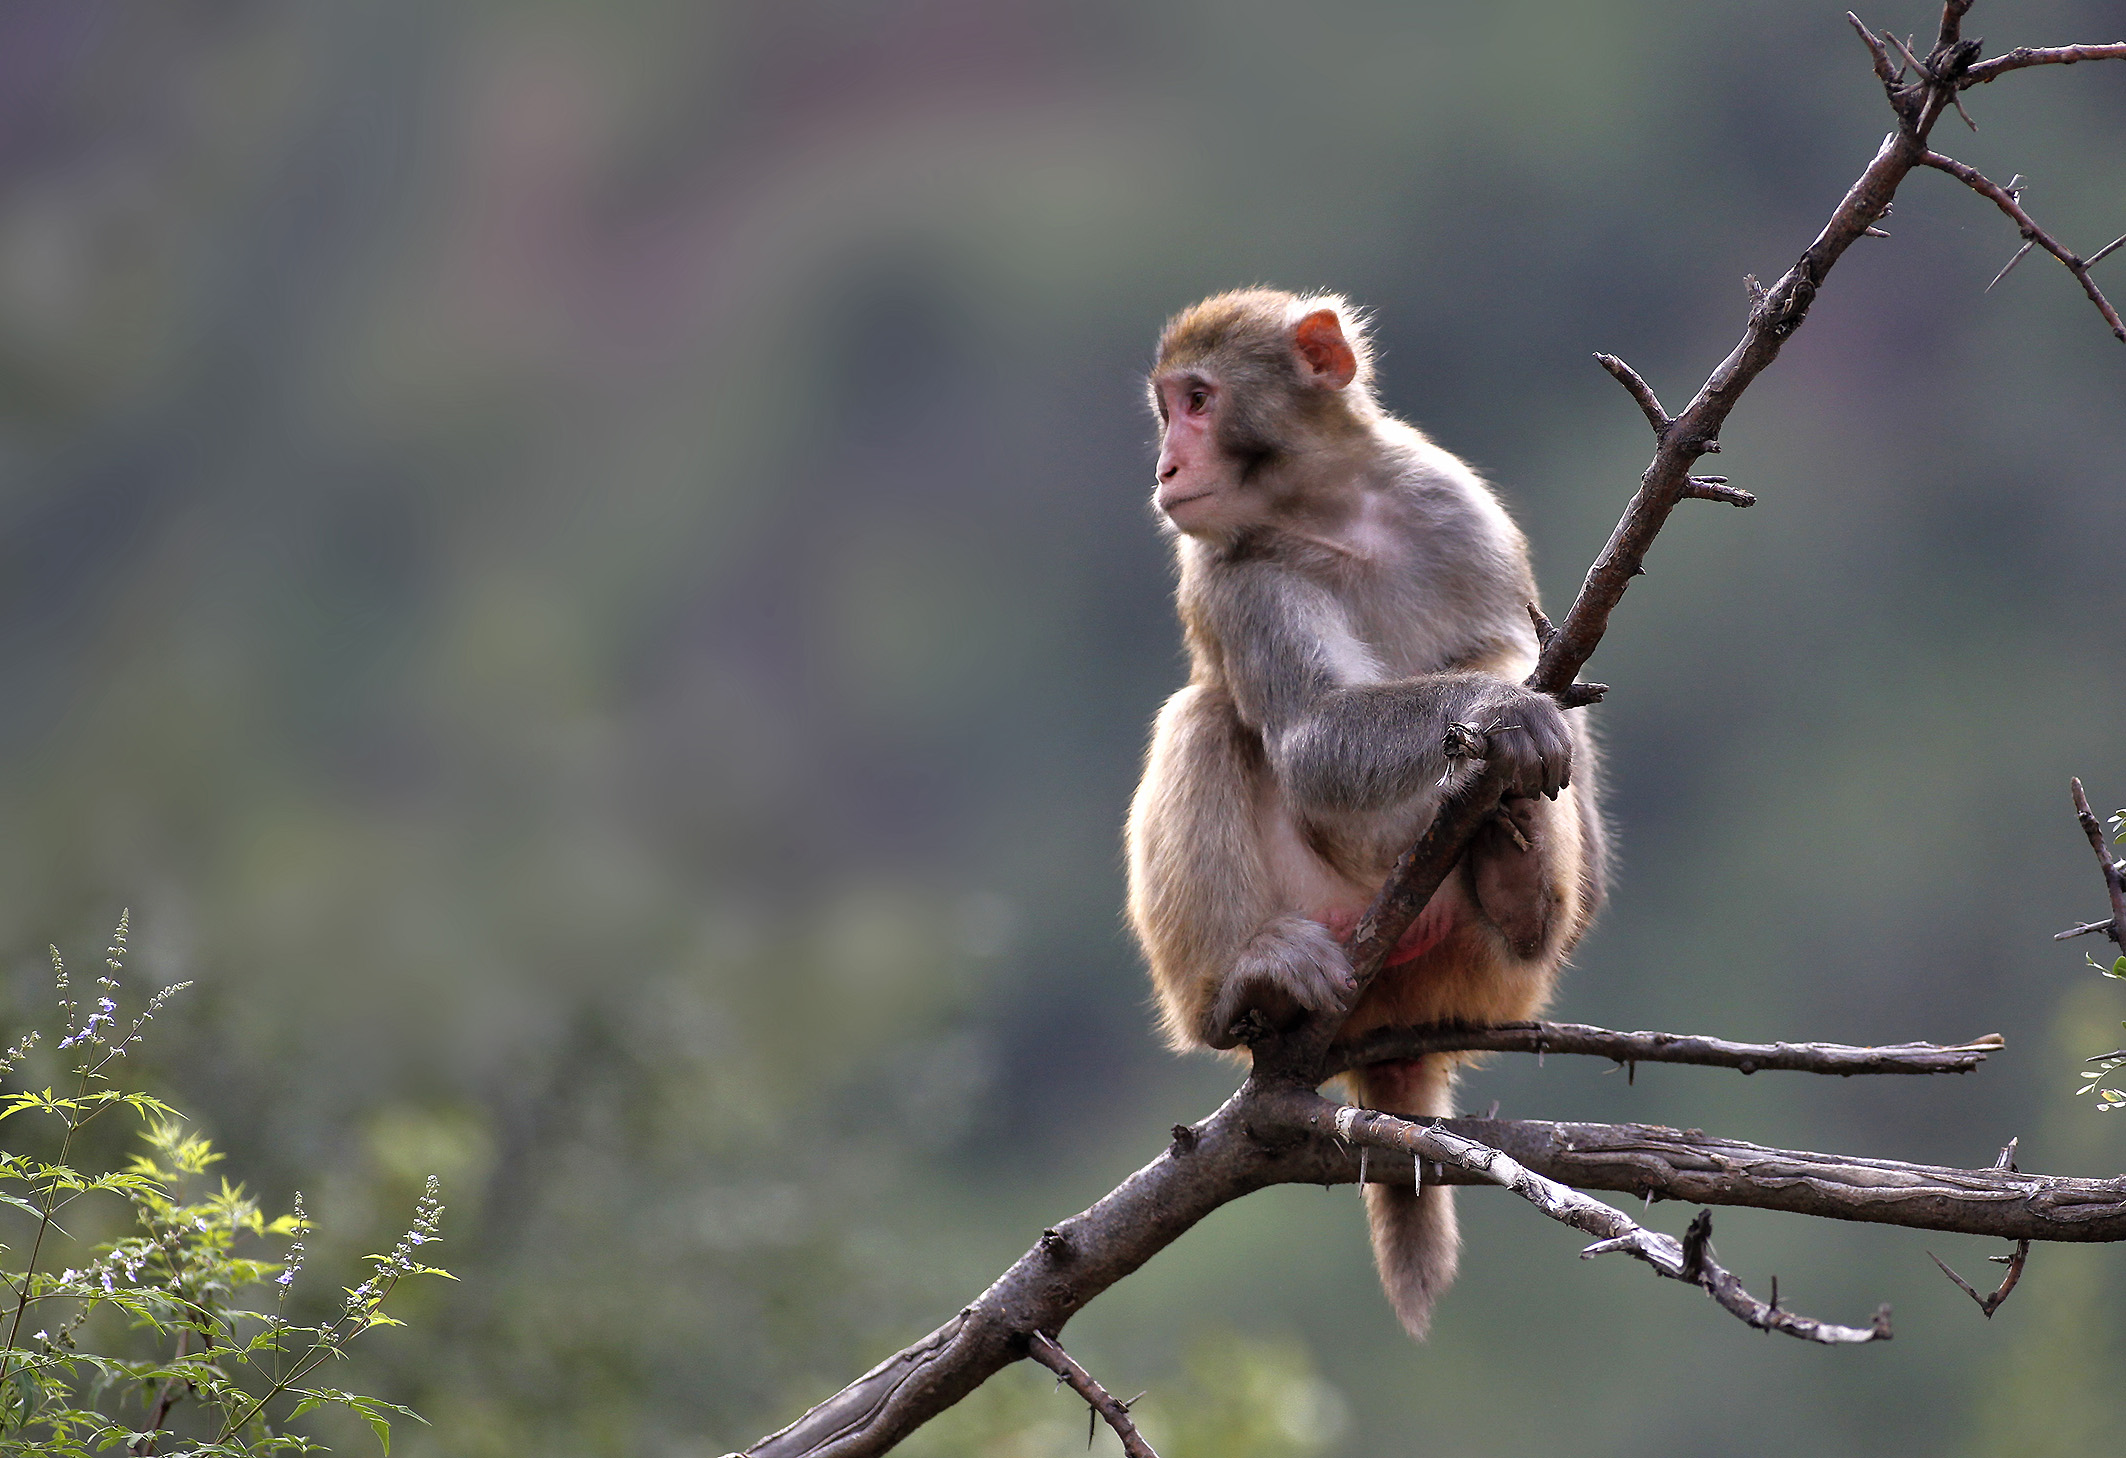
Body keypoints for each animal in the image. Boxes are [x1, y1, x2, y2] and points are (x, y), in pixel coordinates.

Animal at [1122, 289, 1598, 1351]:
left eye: (1198, 400)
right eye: (1168, 409)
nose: (1166, 466)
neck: (1330, 513)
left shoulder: (1454, 505)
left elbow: (1524, 653)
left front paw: (1511, 725)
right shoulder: (1226, 572)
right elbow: (1309, 736)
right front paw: (1501, 714)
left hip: (1478, 975)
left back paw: (1520, 894)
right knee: (1204, 718)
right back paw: (1241, 986)